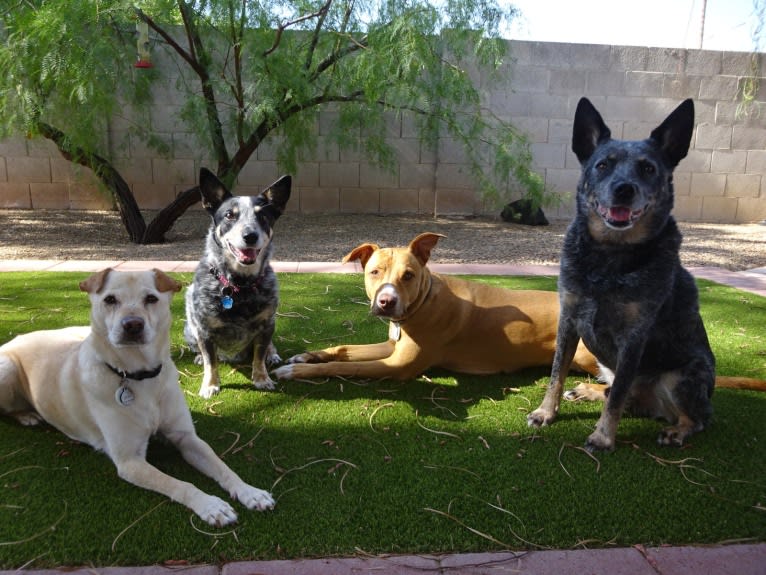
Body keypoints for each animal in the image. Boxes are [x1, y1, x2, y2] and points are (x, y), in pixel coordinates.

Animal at [0, 268, 276, 528]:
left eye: (151, 298)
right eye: (110, 299)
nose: (132, 324)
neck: (140, 377)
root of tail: (19, 337)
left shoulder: (186, 437)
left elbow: (222, 467)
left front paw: (249, 492)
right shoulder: (129, 461)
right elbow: (180, 484)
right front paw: (210, 505)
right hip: (7, 369)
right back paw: (26, 415)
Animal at [185, 169, 292, 398]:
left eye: (263, 216)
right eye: (229, 215)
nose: (250, 236)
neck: (240, 286)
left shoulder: (266, 325)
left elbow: (259, 356)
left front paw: (262, 379)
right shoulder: (204, 329)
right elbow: (211, 362)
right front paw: (210, 385)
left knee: (268, 348)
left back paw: (273, 355)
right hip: (190, 328)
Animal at [272, 234, 604, 382]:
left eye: (408, 275)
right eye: (374, 272)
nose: (386, 302)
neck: (422, 305)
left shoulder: (397, 365)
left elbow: (344, 366)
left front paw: (296, 370)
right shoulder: (392, 345)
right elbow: (343, 349)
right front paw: (307, 355)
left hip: (584, 353)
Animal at [528, 97, 720, 452]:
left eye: (648, 168)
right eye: (603, 165)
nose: (624, 189)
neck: (608, 259)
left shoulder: (633, 337)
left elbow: (616, 396)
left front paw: (603, 437)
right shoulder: (569, 319)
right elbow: (557, 373)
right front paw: (546, 412)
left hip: (682, 377)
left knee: (697, 417)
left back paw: (677, 430)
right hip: (604, 362)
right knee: (614, 389)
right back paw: (588, 390)